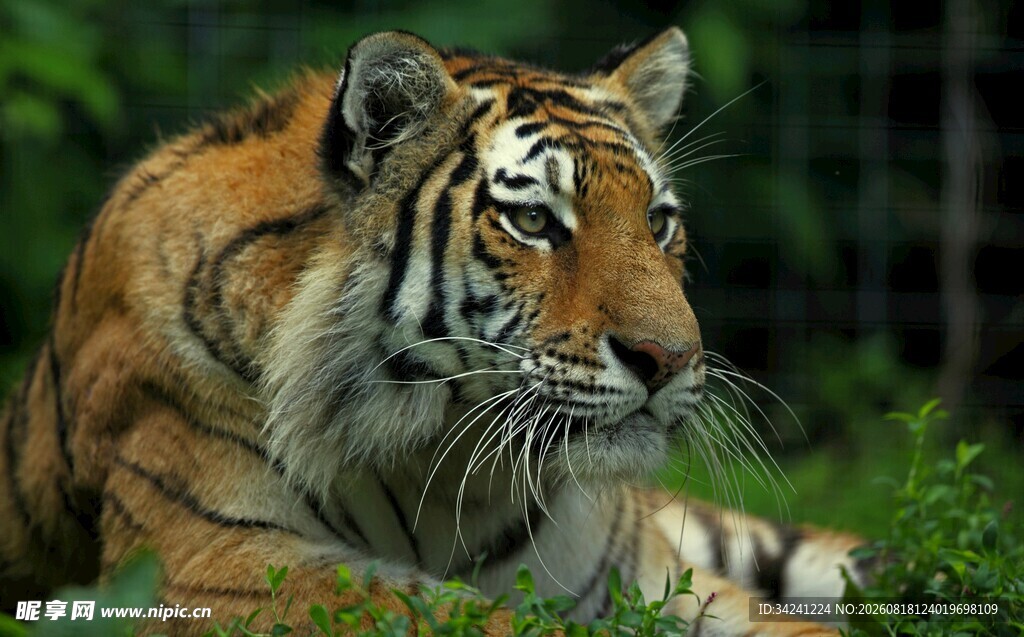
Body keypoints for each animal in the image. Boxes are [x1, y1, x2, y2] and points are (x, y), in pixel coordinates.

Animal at [0, 28, 867, 635]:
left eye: (657, 223)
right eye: (533, 221)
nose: (669, 358)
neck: (445, 471)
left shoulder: (649, 573)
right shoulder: (217, 568)